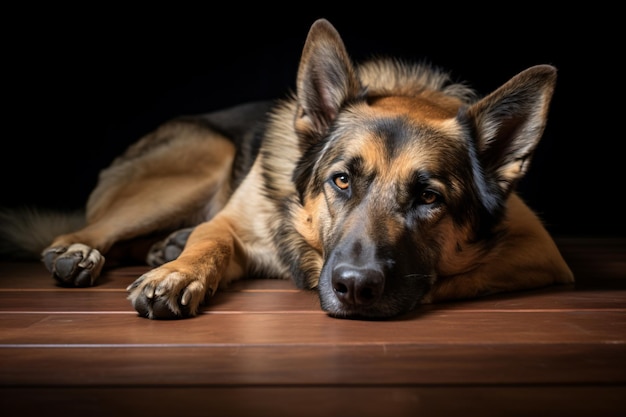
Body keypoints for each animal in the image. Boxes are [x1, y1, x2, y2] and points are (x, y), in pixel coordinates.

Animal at [1, 19, 576, 318]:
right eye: (341, 180)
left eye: (429, 198)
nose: (356, 288)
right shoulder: (228, 223)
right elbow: (210, 240)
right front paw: (178, 272)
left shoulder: (538, 250)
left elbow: (459, 275)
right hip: (202, 164)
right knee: (84, 230)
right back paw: (86, 253)